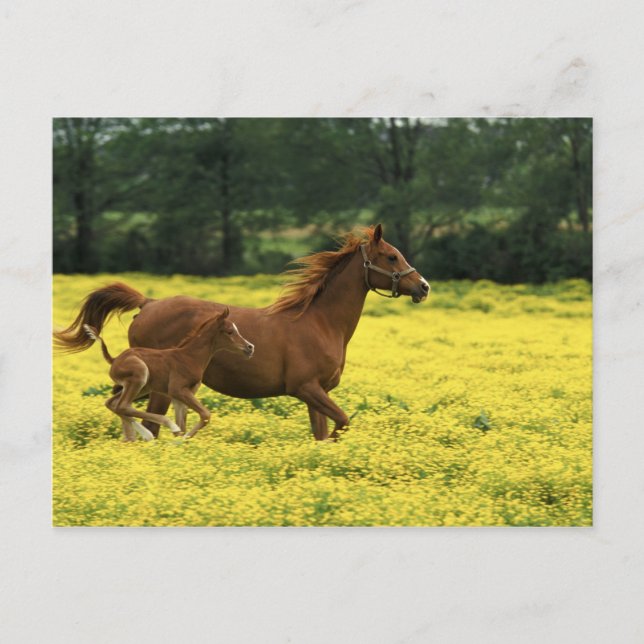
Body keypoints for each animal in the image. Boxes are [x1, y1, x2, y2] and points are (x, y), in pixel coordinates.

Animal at [83, 307, 254, 441]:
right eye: (230, 332)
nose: (250, 347)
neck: (190, 357)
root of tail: (114, 359)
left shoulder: (181, 395)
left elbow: (184, 424)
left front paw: (179, 443)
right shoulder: (177, 390)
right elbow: (205, 415)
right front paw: (181, 439)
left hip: (142, 387)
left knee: (113, 404)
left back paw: (135, 437)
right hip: (140, 376)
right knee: (123, 405)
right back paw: (158, 430)